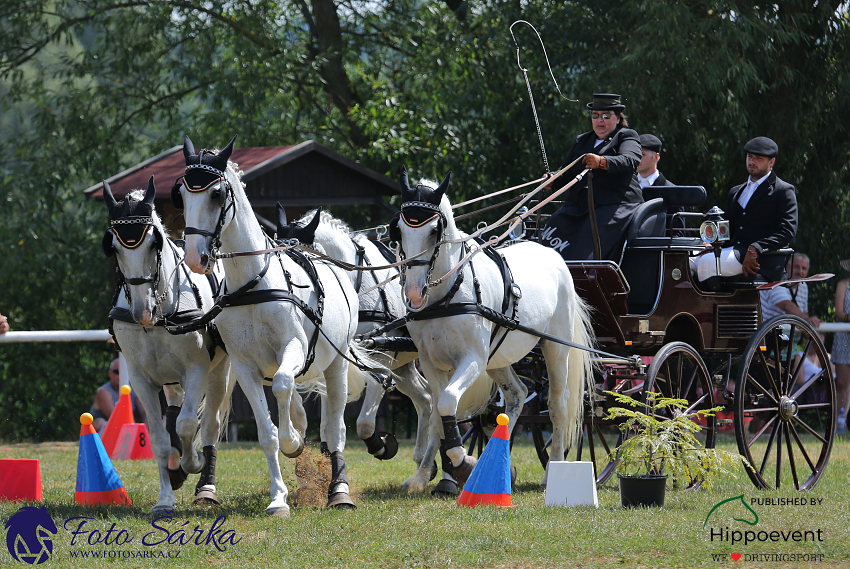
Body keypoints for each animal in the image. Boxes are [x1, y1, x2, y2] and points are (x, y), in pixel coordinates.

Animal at [102, 176, 232, 510]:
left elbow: (188, 424)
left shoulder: (197, 370)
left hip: (220, 371)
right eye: (114, 248)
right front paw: (165, 496)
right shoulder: (140, 379)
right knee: (174, 409)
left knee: (209, 424)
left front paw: (192, 462)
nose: (142, 312)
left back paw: (205, 484)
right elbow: (160, 438)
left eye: (154, 242)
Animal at [176, 134, 378, 516]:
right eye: (180, 193)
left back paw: (339, 491)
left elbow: (285, 390)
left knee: (335, 428)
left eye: (216, 194)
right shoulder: (244, 367)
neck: (253, 284)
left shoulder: (292, 350)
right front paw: (278, 497)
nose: (195, 257)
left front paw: (293, 443)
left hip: (336, 366)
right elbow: (267, 434)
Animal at [278, 206, 440, 490]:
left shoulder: (379, 359)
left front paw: (382, 445)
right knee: (426, 398)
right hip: (404, 365)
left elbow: (364, 423)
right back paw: (424, 461)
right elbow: (325, 420)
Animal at [390, 166, 592, 486]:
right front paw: (422, 476)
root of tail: (553, 256)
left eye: (435, 231)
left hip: (555, 348)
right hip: (497, 357)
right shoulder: (431, 362)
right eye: (398, 229)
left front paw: (461, 462)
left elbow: (447, 402)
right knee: (517, 396)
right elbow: (437, 413)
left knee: (558, 406)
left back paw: (554, 470)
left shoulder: (472, 358)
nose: (412, 292)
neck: (449, 293)